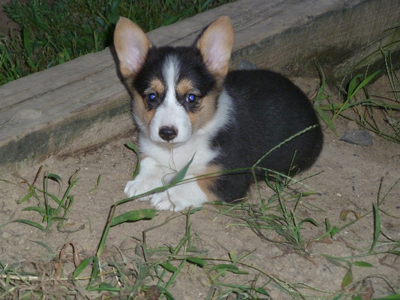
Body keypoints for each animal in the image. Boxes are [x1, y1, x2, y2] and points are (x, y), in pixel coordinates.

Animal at [113, 15, 324, 211]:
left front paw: (168, 197)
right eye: (151, 97)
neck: (178, 148)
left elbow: (195, 181)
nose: (167, 133)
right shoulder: (152, 151)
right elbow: (151, 161)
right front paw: (142, 183)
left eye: (191, 98)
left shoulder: (231, 178)